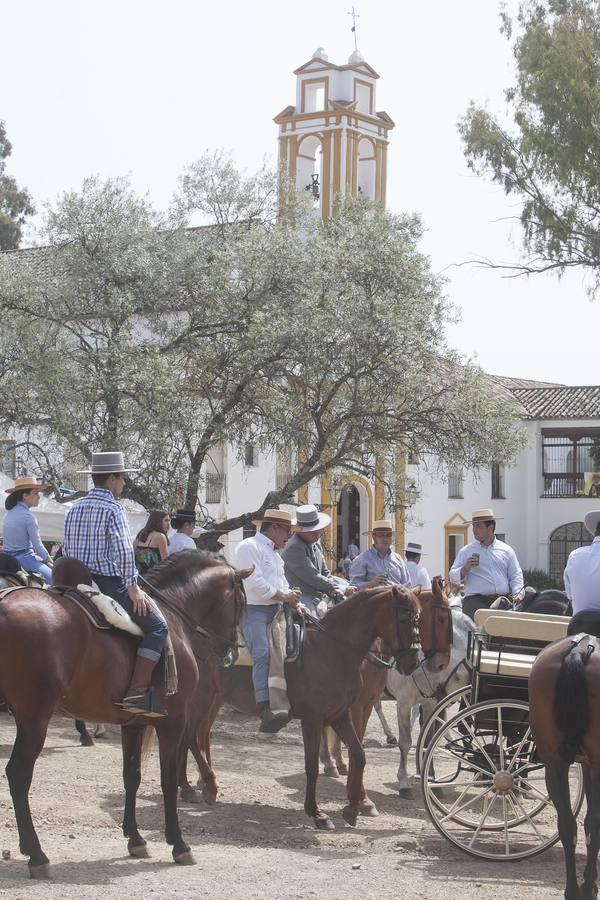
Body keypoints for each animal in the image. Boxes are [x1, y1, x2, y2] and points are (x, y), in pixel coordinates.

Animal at [0, 548, 248, 880]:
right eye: (241, 602)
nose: (231, 652)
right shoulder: (173, 721)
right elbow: (167, 779)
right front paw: (179, 843)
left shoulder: (134, 724)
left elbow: (132, 776)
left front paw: (136, 839)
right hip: (35, 718)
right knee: (18, 774)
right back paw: (37, 855)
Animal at [180, 584, 424, 828]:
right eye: (404, 618)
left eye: (418, 618)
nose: (412, 663)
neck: (332, 650)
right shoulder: (312, 720)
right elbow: (312, 767)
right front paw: (317, 813)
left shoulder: (339, 715)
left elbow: (359, 755)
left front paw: (352, 809)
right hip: (199, 699)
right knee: (190, 737)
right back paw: (207, 786)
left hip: (212, 700)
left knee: (192, 737)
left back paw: (191, 788)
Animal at [528, 632, 600, 900]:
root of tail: (580, 648)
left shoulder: (587, 766)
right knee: (594, 825)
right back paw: (587, 890)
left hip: (554, 765)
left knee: (568, 825)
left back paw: (573, 890)